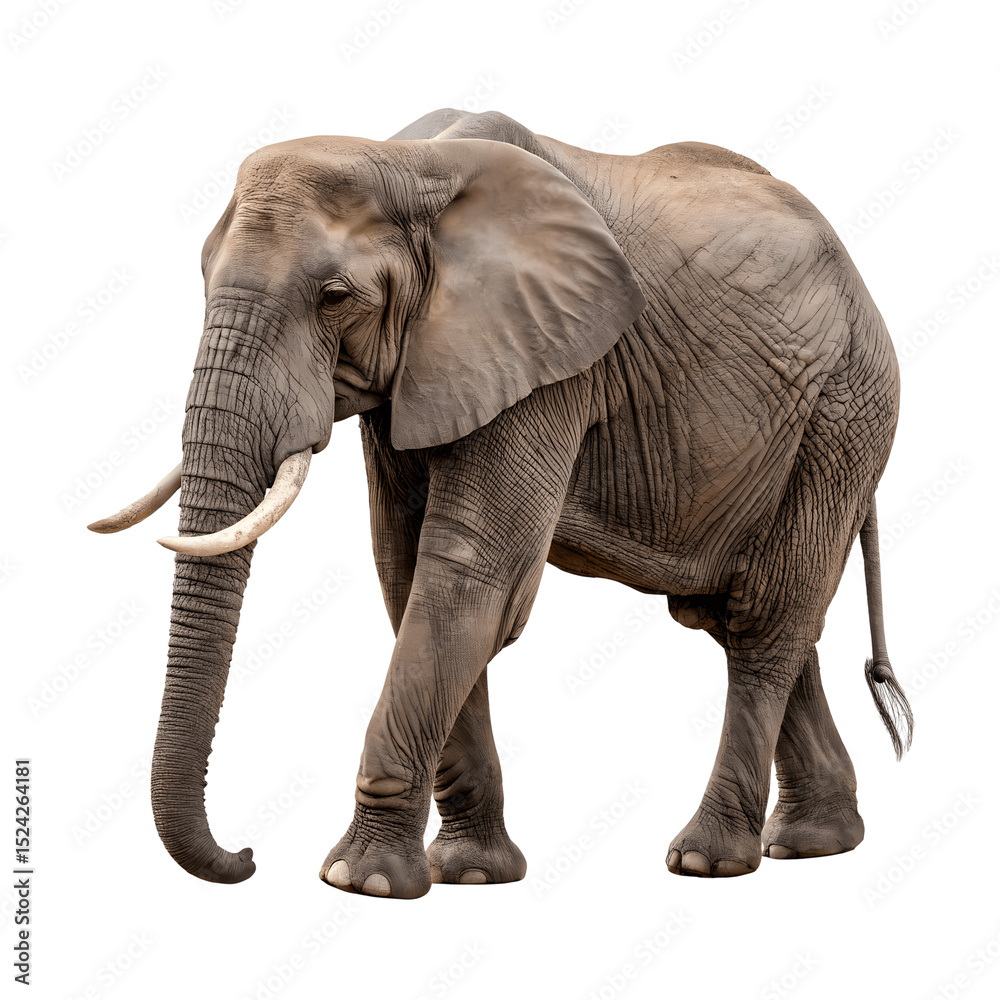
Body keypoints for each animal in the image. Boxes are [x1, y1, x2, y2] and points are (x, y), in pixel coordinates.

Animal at [90, 107, 912, 897]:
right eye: (201, 278)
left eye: (334, 298)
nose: (247, 855)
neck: (406, 161)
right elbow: (406, 572)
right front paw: (470, 873)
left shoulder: (551, 360)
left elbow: (471, 573)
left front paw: (363, 881)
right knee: (742, 613)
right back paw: (813, 843)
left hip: (845, 410)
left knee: (766, 618)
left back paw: (709, 859)